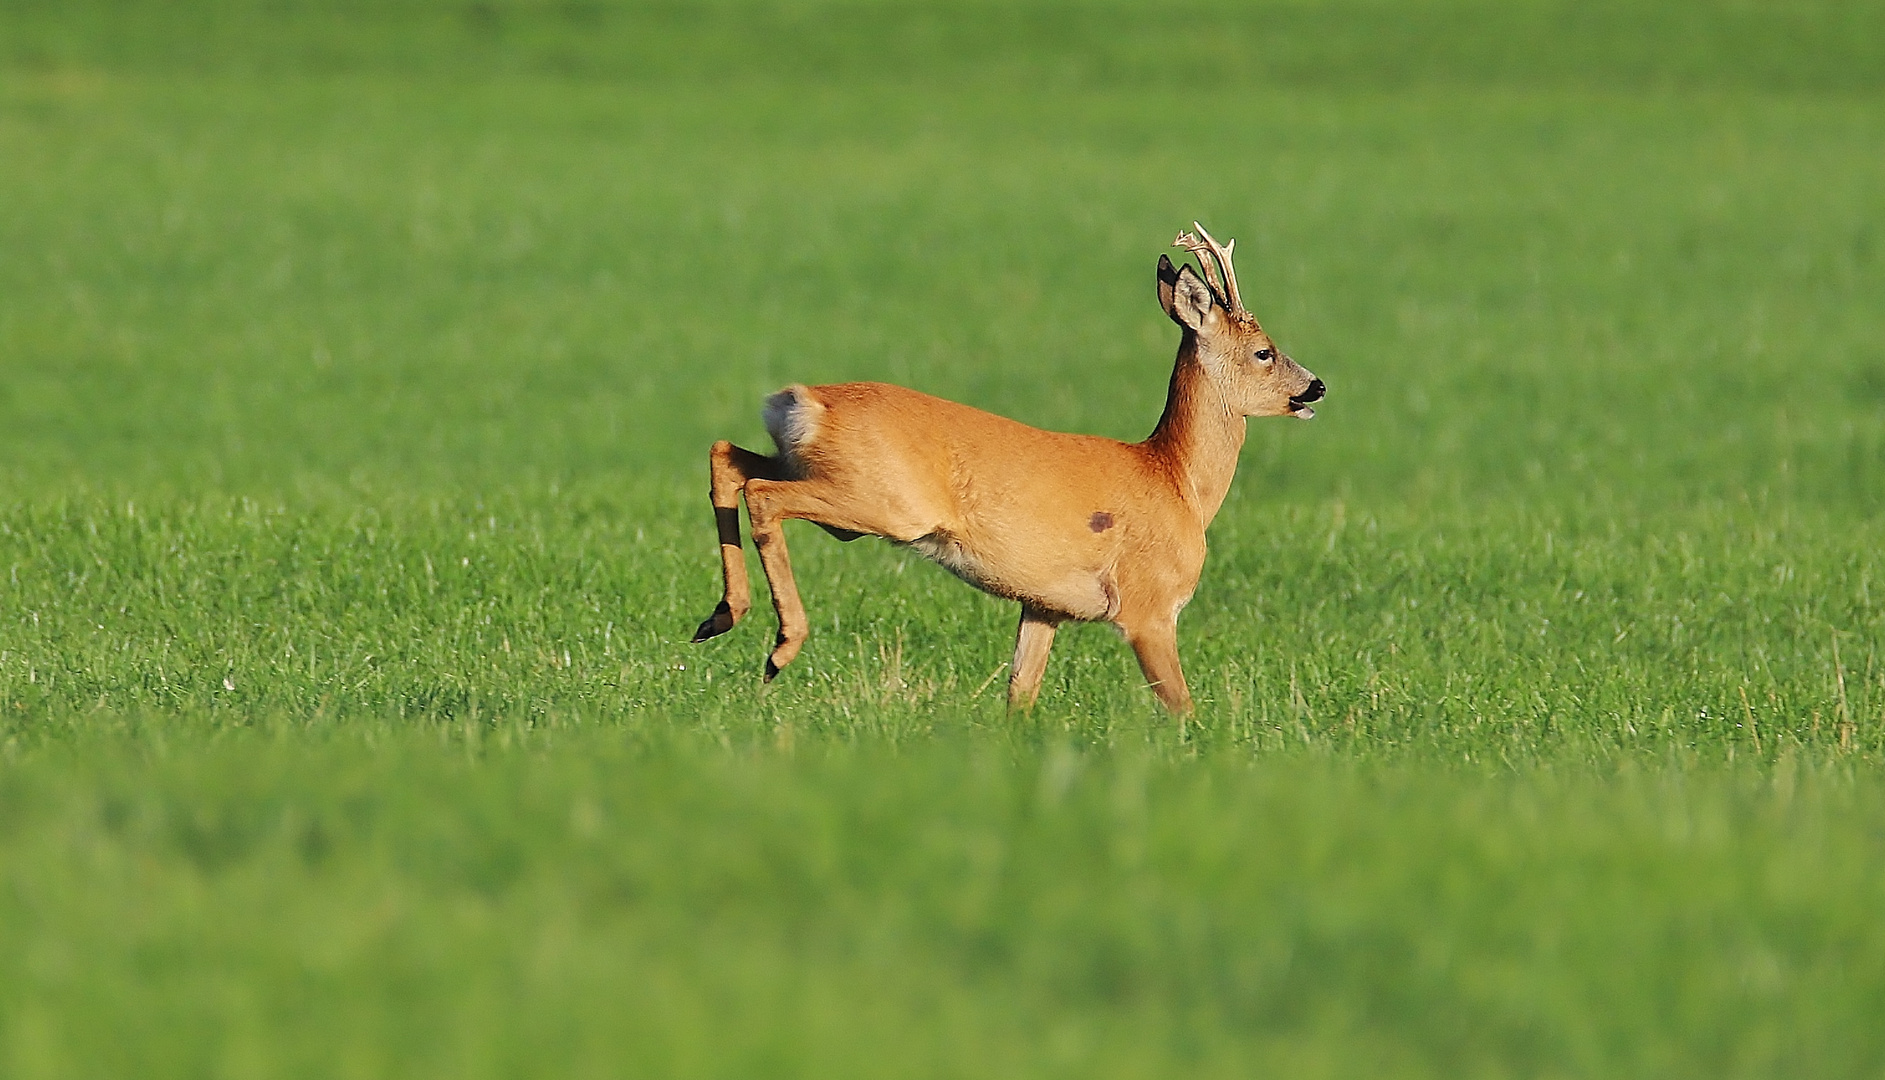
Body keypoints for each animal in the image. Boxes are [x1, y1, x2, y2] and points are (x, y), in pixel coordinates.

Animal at [693, 223, 1327, 712]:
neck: (1177, 480)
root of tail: (804, 402)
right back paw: (779, 648)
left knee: (727, 456)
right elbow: (1182, 709)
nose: (1316, 386)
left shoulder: (1044, 606)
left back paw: (720, 616)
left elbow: (1020, 696)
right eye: (1265, 352)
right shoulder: (1149, 606)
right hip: (882, 502)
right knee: (761, 491)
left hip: (819, 471)